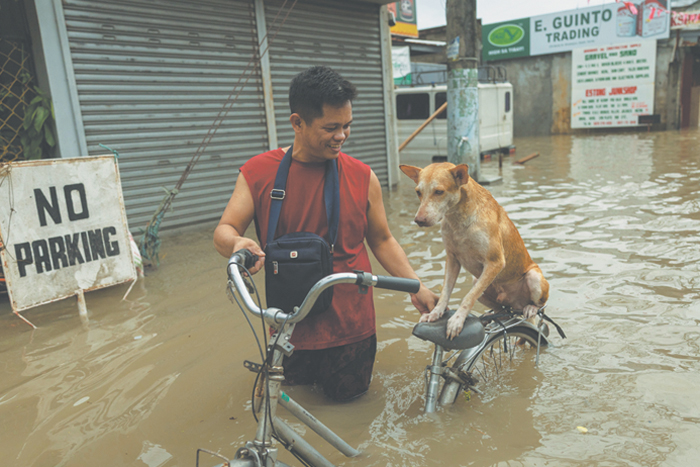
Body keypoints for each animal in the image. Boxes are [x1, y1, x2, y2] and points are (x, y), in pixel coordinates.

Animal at [400, 165, 548, 340]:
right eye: (418, 192)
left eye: (439, 192)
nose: (419, 220)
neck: (458, 219)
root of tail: (516, 304)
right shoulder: (452, 259)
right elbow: (445, 292)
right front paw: (435, 312)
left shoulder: (495, 262)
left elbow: (469, 297)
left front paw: (457, 320)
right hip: (478, 281)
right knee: (501, 309)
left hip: (533, 277)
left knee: (539, 305)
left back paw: (531, 308)